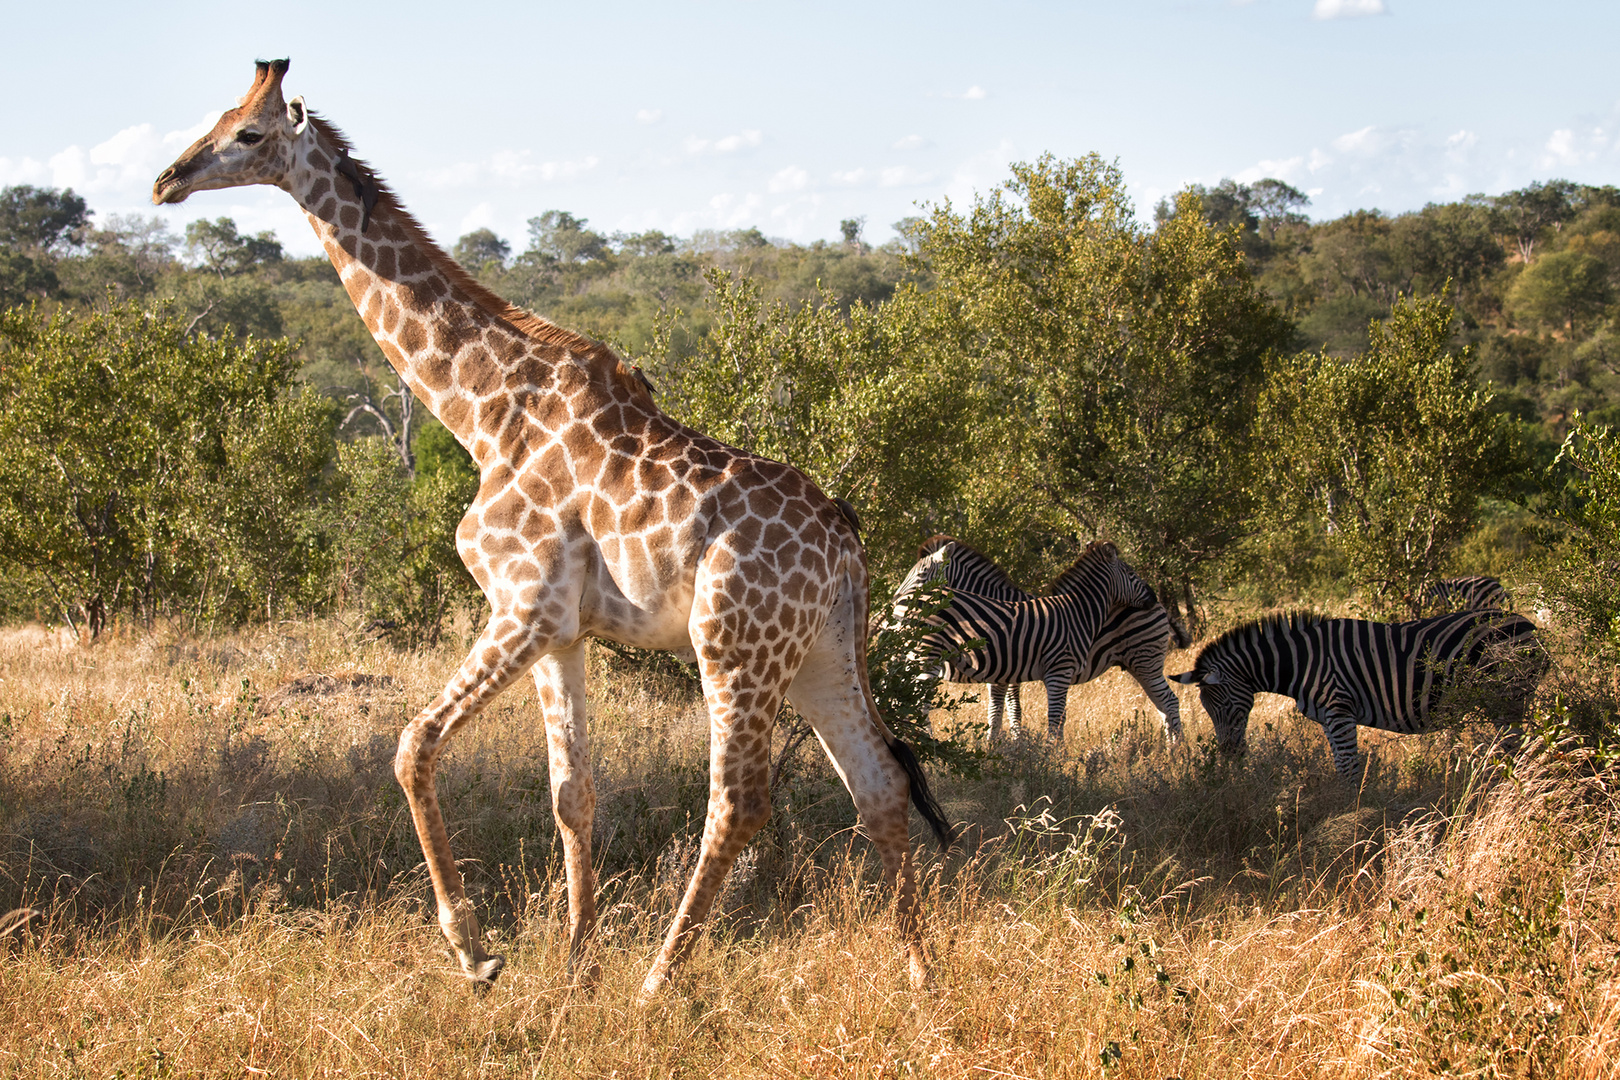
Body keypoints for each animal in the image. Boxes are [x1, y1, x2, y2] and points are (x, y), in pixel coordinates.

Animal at [153, 59, 952, 1003]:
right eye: (215, 116)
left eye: (247, 133)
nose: (166, 180)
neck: (481, 413)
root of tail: (847, 544)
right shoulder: (564, 630)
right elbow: (573, 792)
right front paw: (575, 967)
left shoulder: (522, 603)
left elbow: (412, 746)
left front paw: (478, 952)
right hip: (819, 652)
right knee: (880, 785)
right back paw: (919, 975)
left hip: (734, 645)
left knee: (740, 803)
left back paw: (659, 981)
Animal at [887, 540, 1192, 744]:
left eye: (921, 575)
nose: (894, 605)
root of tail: (1161, 607)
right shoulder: (1004, 666)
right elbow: (1003, 709)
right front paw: (1005, 745)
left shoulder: (1007, 667)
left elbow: (1010, 709)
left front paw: (1012, 745)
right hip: (1139, 664)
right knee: (1164, 706)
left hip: (1145, 660)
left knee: (1169, 703)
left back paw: (1175, 752)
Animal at [1166, 608, 1542, 777]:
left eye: (1225, 706)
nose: (1230, 757)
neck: (1301, 662)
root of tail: (1528, 624)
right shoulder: (1330, 719)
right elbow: (1340, 765)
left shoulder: (1339, 711)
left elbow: (1349, 767)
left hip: (1508, 699)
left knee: (1518, 748)